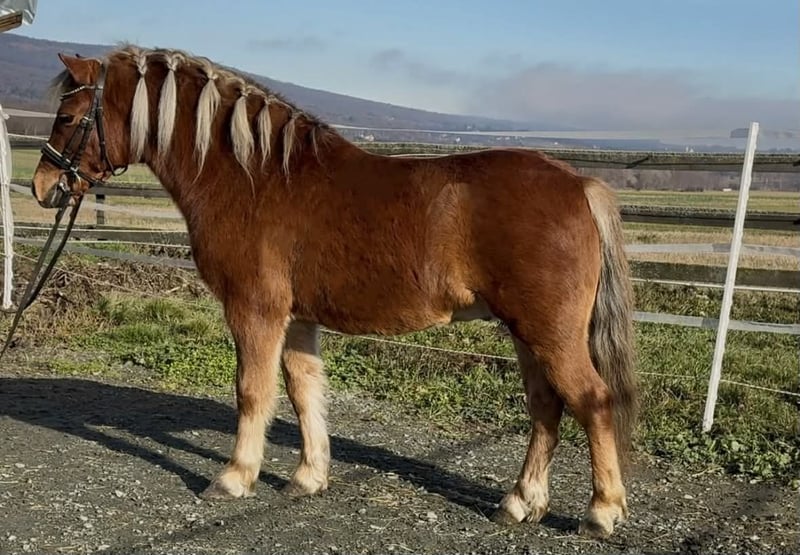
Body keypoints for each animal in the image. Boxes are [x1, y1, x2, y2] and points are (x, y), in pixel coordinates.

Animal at [30, 45, 638, 539]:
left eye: (68, 117)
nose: (42, 187)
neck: (253, 177)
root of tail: (579, 184)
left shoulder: (254, 310)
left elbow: (252, 391)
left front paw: (234, 477)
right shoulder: (298, 318)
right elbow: (304, 392)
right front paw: (308, 476)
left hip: (548, 331)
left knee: (592, 400)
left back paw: (602, 511)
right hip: (526, 332)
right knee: (546, 406)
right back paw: (519, 502)